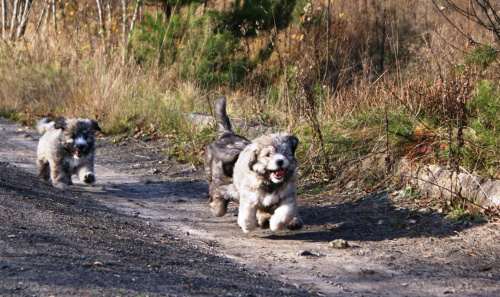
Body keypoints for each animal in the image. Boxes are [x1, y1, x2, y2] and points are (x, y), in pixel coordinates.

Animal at [205, 95, 302, 231]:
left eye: (285, 153)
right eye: (268, 155)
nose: (279, 161)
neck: (269, 182)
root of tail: (227, 134)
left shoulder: (286, 196)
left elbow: (285, 212)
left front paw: (276, 223)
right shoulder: (247, 195)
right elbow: (234, 210)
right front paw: (248, 225)